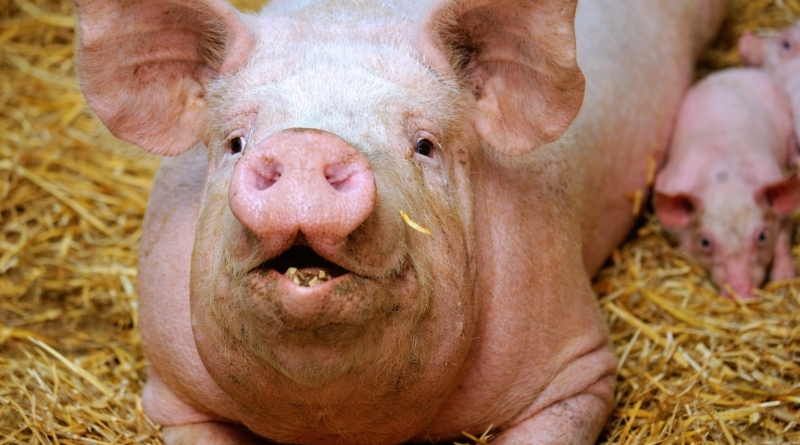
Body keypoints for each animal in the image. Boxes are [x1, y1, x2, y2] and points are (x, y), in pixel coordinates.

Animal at [73, 0, 724, 444]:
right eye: (235, 142)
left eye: (425, 145)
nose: (306, 143)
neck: (335, 423)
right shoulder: (172, 390)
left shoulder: (577, 366)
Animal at [654, 68, 800, 299]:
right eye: (705, 242)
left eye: (762, 236)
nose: (741, 291)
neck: (726, 180)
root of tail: (732, 70)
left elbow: (783, 240)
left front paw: (783, 278)